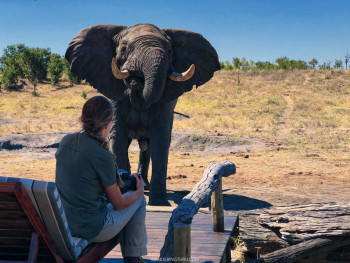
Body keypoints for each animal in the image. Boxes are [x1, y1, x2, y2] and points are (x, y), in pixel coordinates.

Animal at [65, 23, 219, 206]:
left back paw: (144, 184)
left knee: (147, 147)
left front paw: (159, 203)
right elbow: (117, 137)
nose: (135, 80)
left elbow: (160, 139)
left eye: (169, 51)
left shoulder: (165, 101)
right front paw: (124, 188)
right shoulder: (115, 94)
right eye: (124, 48)